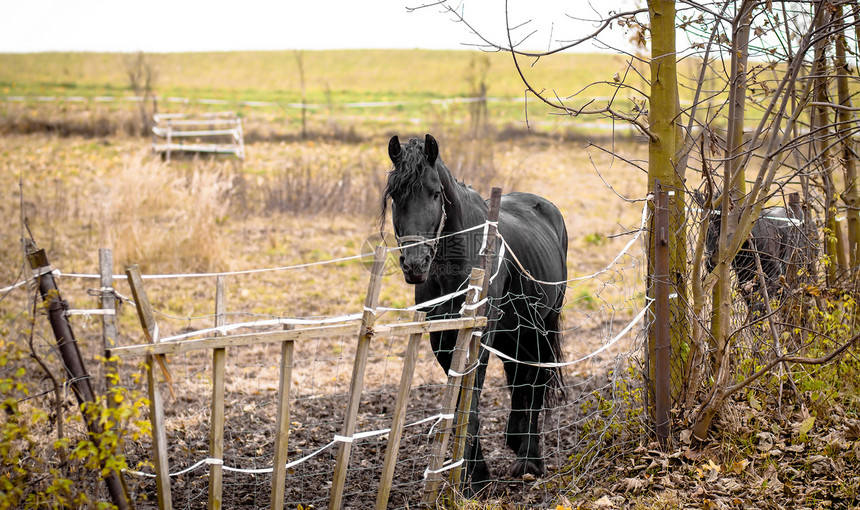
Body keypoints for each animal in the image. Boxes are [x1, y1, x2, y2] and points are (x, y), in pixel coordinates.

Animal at [382, 134, 568, 490]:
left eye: (435, 192)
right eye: (395, 194)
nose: (415, 265)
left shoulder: (476, 338)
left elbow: (472, 401)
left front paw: (475, 477)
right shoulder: (442, 340)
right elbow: (459, 403)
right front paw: (471, 471)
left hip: (543, 323)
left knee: (537, 379)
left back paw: (530, 459)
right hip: (515, 331)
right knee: (518, 376)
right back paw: (516, 439)